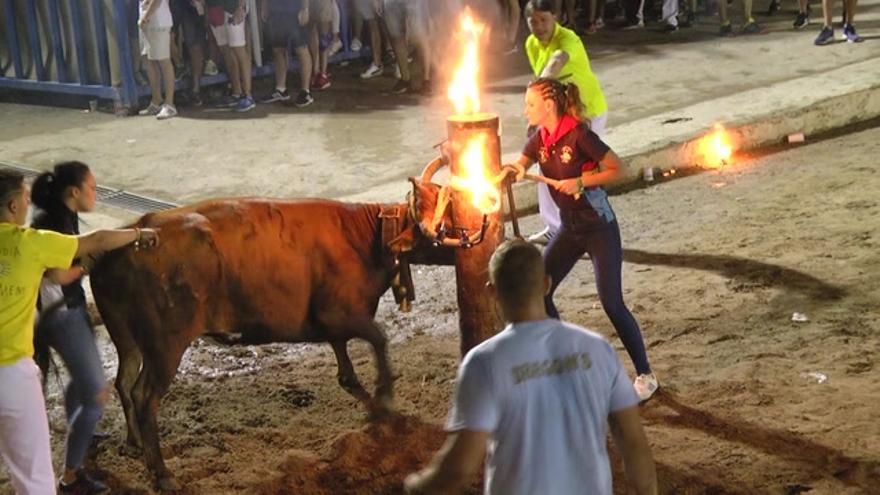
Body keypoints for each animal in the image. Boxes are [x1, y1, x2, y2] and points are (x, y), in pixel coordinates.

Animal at [92, 183, 450, 492]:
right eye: (447, 220)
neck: (365, 235)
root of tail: (138, 229)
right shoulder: (340, 314)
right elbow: (379, 339)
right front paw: (386, 399)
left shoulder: (333, 321)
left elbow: (346, 366)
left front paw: (373, 404)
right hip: (166, 345)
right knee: (144, 396)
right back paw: (162, 474)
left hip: (126, 337)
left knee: (124, 382)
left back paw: (134, 445)